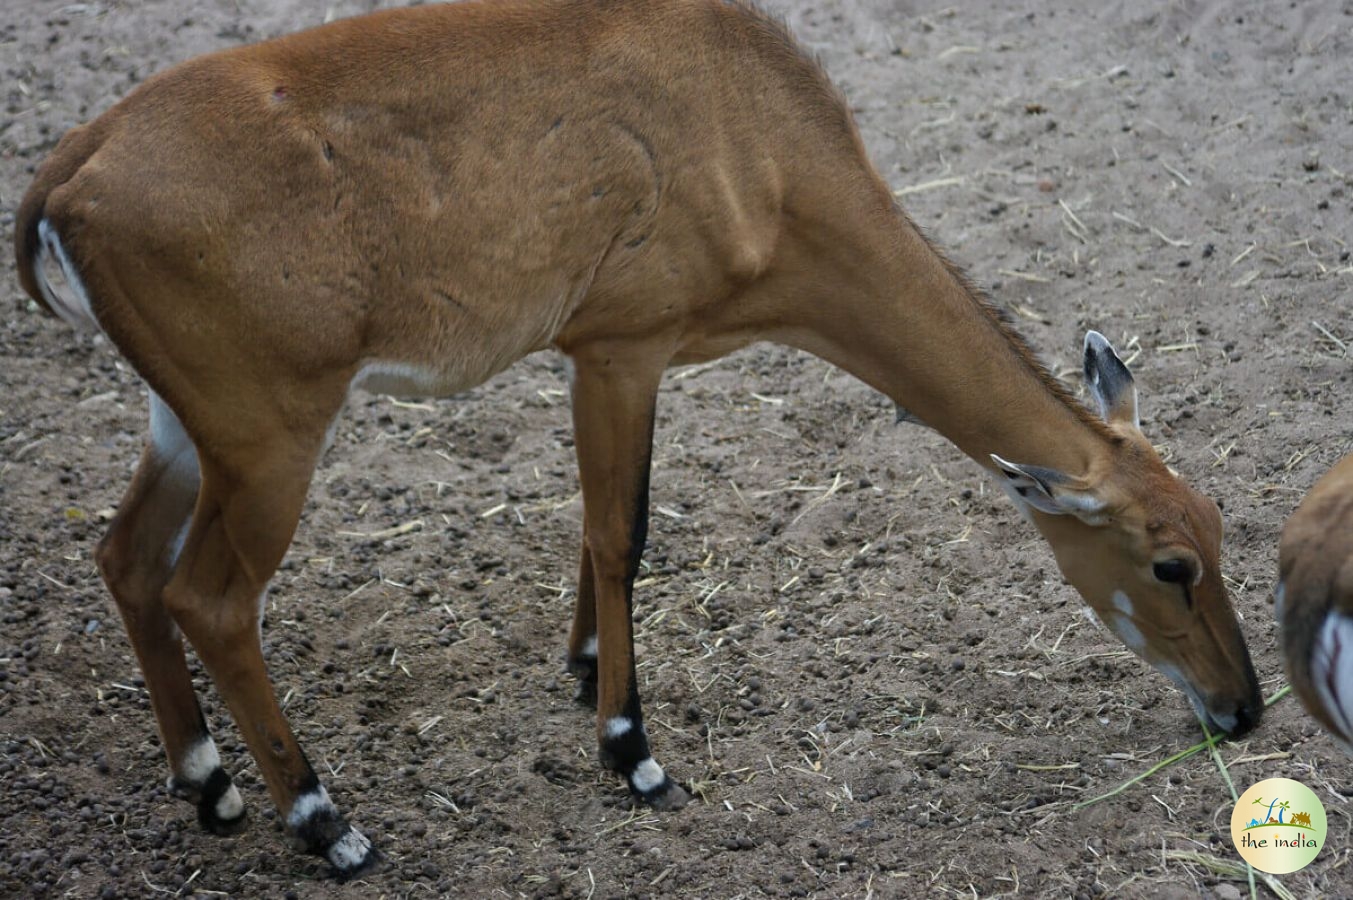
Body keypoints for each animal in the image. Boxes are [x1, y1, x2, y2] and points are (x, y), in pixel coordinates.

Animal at [10, 0, 1260, 876]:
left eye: (1221, 531)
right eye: (1170, 564)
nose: (1243, 710)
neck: (751, 135)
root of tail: (73, 169)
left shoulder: (607, 359)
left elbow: (593, 524)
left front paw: (579, 670)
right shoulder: (622, 345)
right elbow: (624, 534)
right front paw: (631, 749)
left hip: (192, 428)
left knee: (125, 558)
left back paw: (210, 784)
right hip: (271, 436)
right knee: (211, 598)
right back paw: (327, 823)